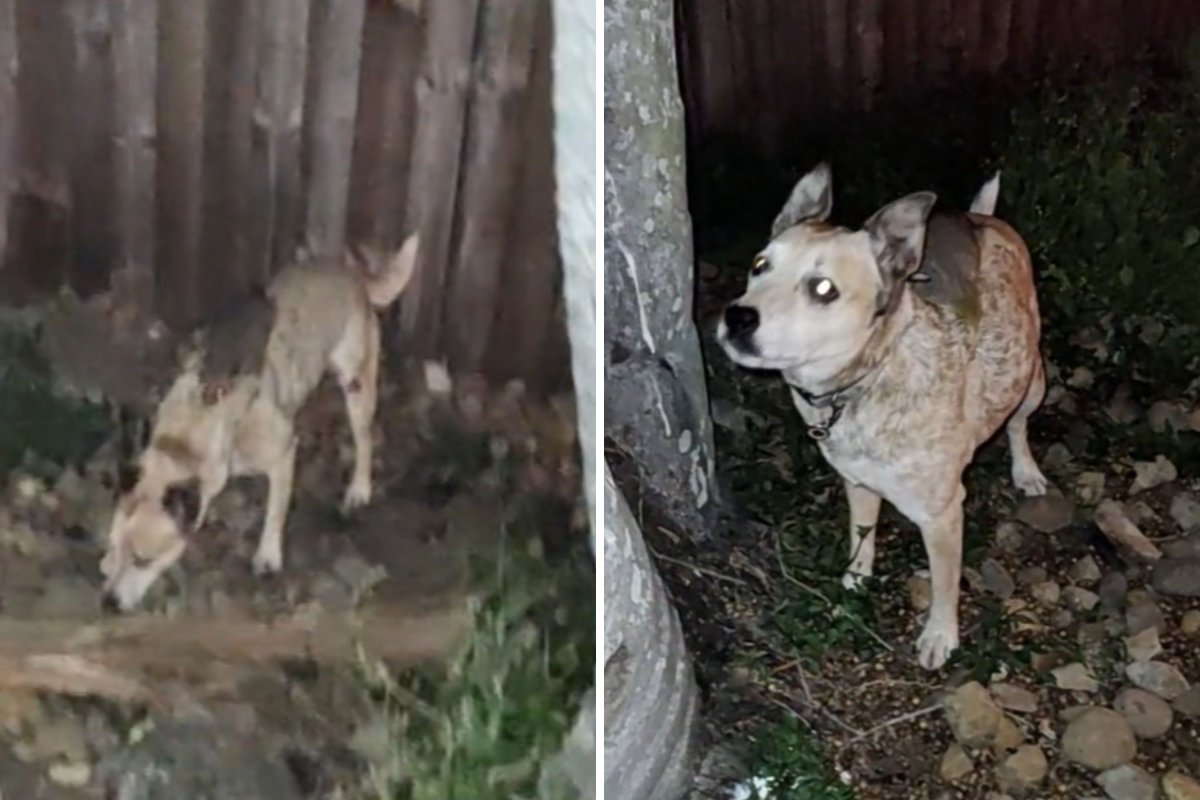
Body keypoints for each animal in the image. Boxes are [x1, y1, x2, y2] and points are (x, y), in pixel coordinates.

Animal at [97, 235, 422, 609]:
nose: (108, 603)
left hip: (357, 385)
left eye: (143, 560)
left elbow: (275, 512)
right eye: (113, 548)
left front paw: (267, 557)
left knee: (364, 439)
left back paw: (359, 489)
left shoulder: (282, 457)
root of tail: (352, 274)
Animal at [715, 167, 1046, 671]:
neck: (864, 380)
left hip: (1031, 380)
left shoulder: (942, 514)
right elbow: (861, 537)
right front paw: (854, 583)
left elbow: (945, 584)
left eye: (823, 288)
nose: (737, 317)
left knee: (1016, 423)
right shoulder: (858, 481)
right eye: (760, 265)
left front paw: (940, 636)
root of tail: (983, 217)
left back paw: (1026, 470)